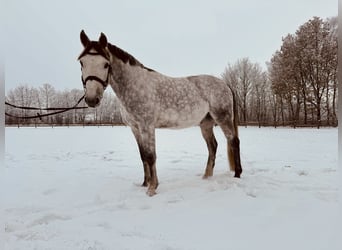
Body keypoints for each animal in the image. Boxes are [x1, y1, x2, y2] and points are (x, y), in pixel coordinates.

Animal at [78, 30, 242, 195]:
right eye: (81, 63)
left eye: (106, 64)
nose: (92, 99)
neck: (135, 85)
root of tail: (225, 84)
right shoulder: (135, 128)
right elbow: (143, 156)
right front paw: (145, 183)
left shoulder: (147, 127)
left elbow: (151, 156)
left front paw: (152, 188)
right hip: (206, 124)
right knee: (212, 146)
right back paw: (206, 176)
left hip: (223, 118)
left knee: (233, 141)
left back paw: (237, 174)